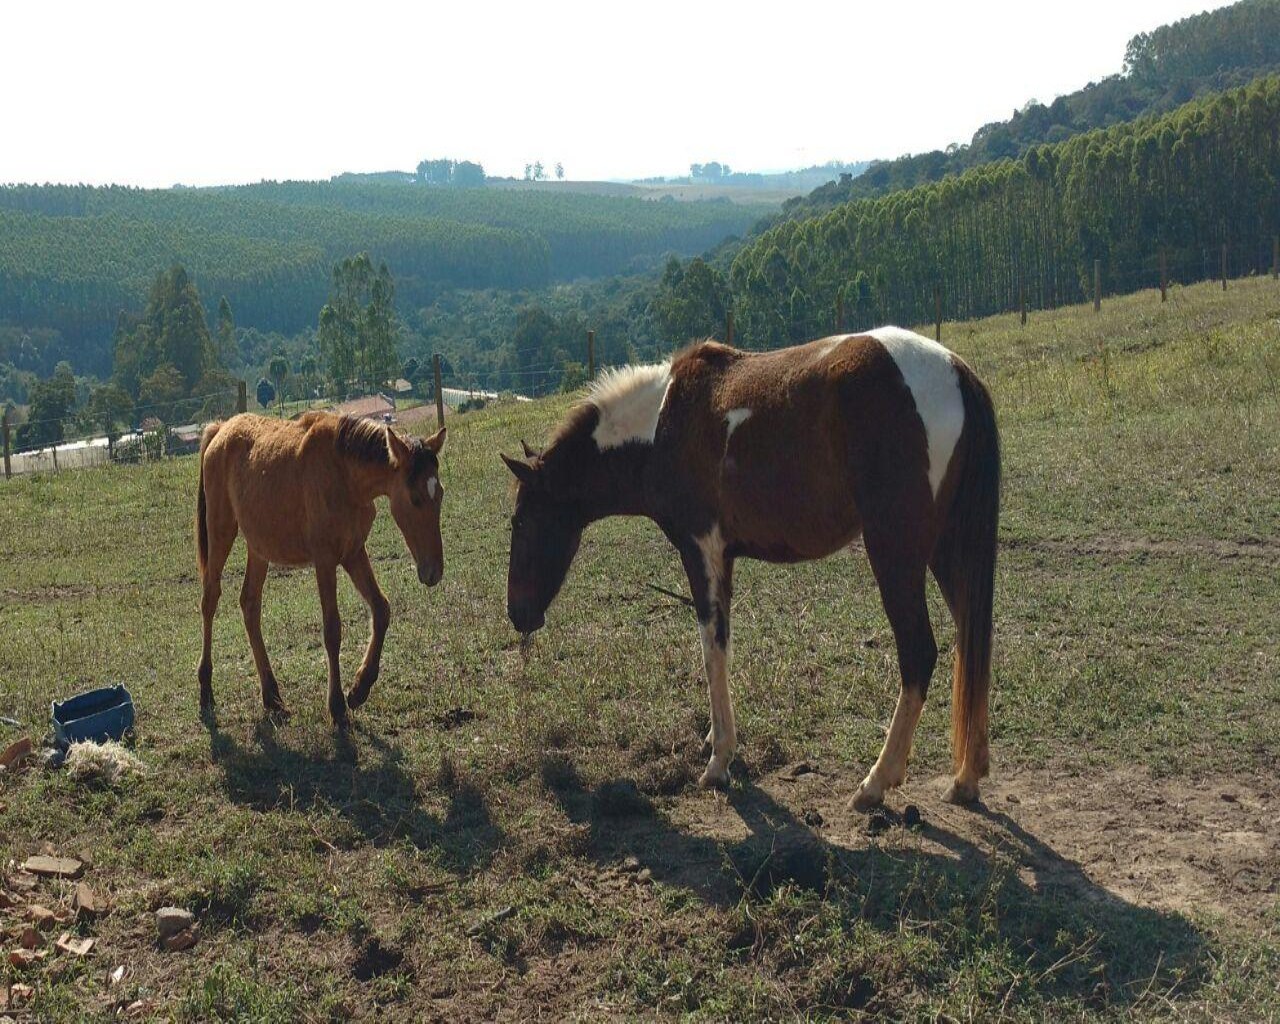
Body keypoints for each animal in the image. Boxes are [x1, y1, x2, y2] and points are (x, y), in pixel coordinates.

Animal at [193, 412, 445, 721]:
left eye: (440, 494)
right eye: (415, 498)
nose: (433, 571)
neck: (343, 473)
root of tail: (220, 429)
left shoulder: (353, 553)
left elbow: (381, 609)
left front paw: (360, 687)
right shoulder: (325, 560)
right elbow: (332, 629)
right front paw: (337, 705)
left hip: (259, 548)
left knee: (249, 604)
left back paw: (272, 695)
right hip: (221, 532)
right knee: (210, 600)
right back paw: (206, 687)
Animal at [504, 327, 1003, 808]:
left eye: (520, 521)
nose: (517, 613)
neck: (662, 425)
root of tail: (956, 371)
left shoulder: (700, 549)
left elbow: (712, 646)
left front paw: (719, 761)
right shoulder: (723, 556)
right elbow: (720, 647)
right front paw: (715, 739)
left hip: (895, 553)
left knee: (919, 653)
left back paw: (876, 782)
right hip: (943, 551)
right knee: (971, 639)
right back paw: (966, 777)